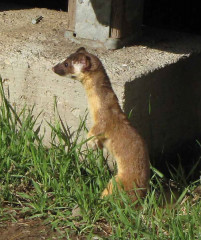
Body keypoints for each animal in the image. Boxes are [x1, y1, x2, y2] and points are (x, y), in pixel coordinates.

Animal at [52, 47, 150, 201]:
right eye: (64, 59)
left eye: (67, 64)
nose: (53, 67)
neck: (95, 108)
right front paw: (96, 145)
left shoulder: (104, 120)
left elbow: (96, 131)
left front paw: (90, 142)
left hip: (118, 181)